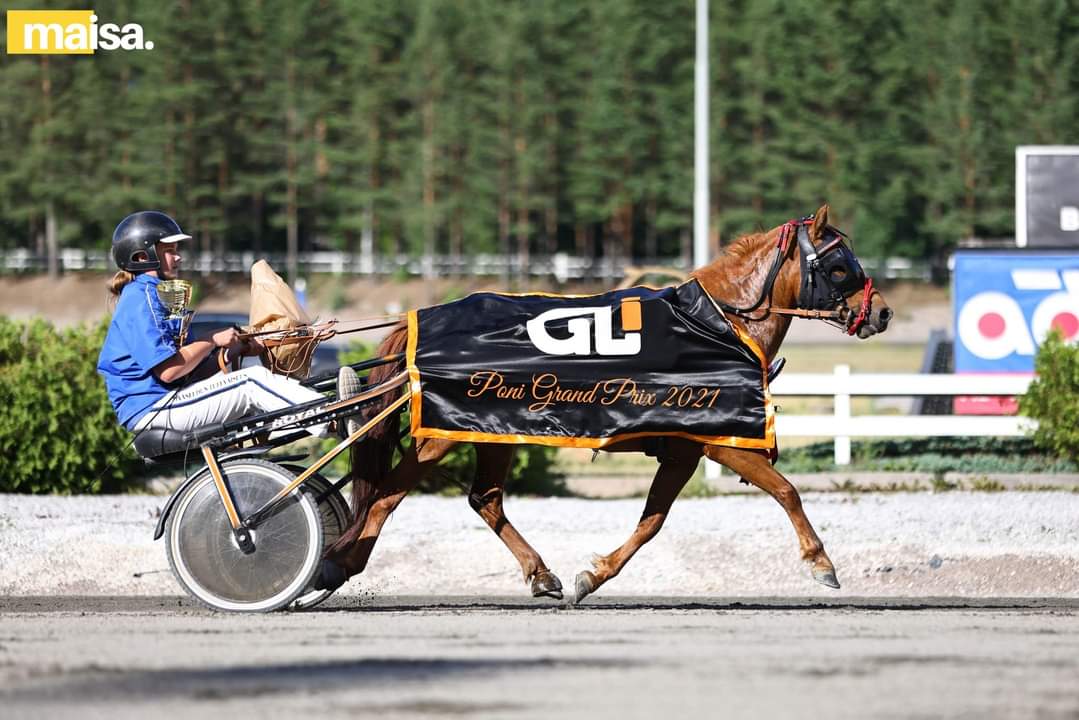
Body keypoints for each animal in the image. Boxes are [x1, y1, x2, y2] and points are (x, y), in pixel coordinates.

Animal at [319, 204, 893, 604]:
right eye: (839, 266)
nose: (883, 312)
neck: (714, 324)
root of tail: (422, 317)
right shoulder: (713, 441)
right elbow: (786, 490)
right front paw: (820, 562)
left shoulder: (682, 450)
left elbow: (652, 521)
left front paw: (591, 576)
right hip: (441, 436)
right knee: (387, 496)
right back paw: (337, 561)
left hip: (493, 431)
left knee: (484, 499)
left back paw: (540, 574)